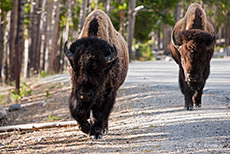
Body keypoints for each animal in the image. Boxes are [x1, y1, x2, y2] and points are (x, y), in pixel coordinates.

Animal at [63, 9, 128, 140]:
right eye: (75, 69)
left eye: (100, 71)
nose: (85, 94)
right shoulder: (75, 90)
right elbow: (78, 110)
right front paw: (86, 128)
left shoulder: (108, 93)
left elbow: (100, 113)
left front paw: (96, 133)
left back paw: (104, 129)